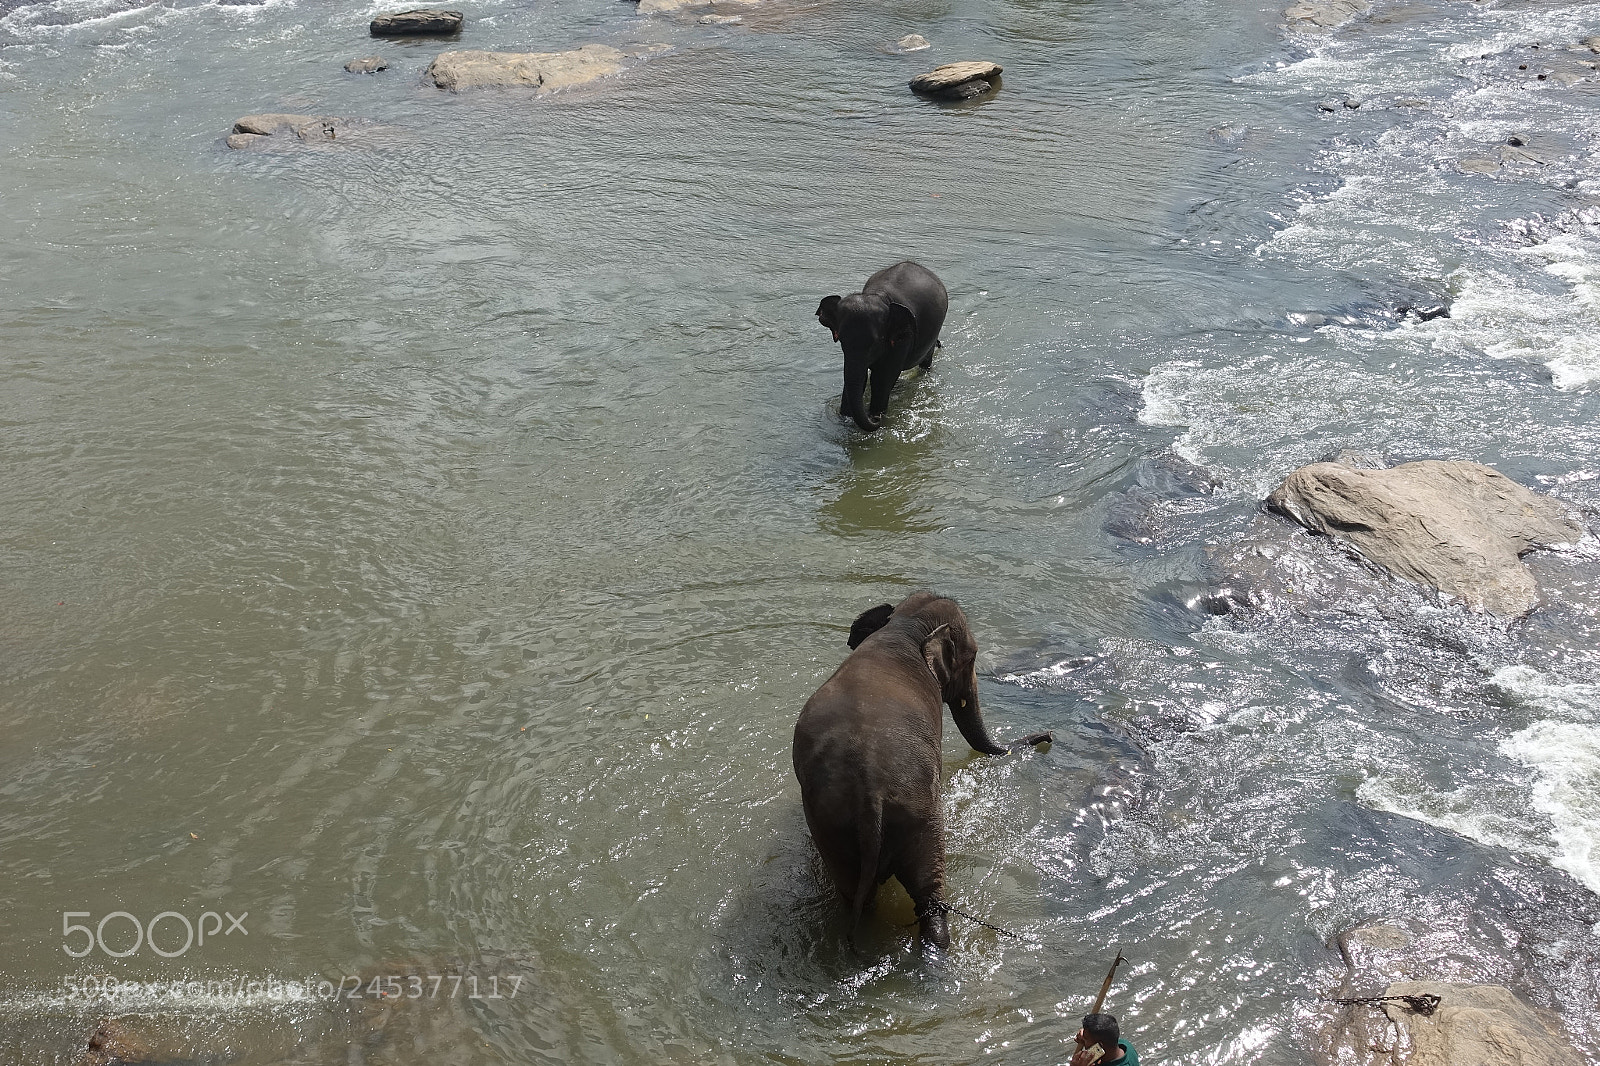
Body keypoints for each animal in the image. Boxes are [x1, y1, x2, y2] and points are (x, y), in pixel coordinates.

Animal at [791, 592, 1053, 953]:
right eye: (972, 658)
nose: (1050, 735)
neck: (904, 626)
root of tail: (869, 794)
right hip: (920, 818)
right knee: (930, 896)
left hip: (831, 828)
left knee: (858, 895)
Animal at [816, 261, 948, 433]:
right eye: (841, 339)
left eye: (876, 341)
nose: (876, 419)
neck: (879, 296)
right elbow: (861, 376)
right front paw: (846, 417)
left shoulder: (902, 338)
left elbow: (882, 378)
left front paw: (876, 415)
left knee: (925, 362)